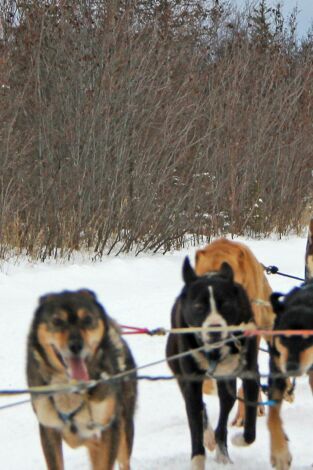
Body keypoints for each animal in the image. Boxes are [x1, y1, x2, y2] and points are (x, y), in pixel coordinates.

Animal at [25, 290, 135, 470]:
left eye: (88, 319)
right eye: (57, 321)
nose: (76, 345)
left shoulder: (109, 428)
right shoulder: (49, 430)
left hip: (124, 429)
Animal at [166, 258, 258, 468]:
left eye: (226, 304)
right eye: (199, 307)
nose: (214, 330)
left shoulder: (250, 374)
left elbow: (250, 430)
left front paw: (240, 439)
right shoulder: (191, 382)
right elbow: (195, 426)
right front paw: (197, 460)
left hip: (227, 386)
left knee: (222, 422)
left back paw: (223, 454)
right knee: (200, 409)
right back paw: (208, 438)